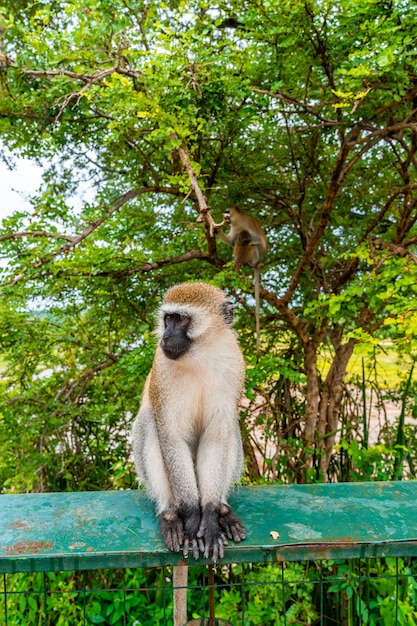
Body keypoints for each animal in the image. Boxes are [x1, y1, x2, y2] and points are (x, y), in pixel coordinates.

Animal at [132, 282, 245, 560]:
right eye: (167, 319)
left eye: (182, 319)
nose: (165, 337)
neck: (200, 356)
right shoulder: (162, 368)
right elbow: (170, 437)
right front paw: (193, 520)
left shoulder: (234, 365)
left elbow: (216, 437)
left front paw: (211, 517)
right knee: (150, 423)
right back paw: (171, 514)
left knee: (230, 429)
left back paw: (223, 511)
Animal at [216, 207, 268, 358]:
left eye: (228, 211)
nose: (225, 215)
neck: (237, 221)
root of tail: (257, 263)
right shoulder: (233, 226)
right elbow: (230, 241)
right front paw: (213, 229)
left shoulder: (246, 222)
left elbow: (258, 239)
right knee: (238, 239)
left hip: (254, 256)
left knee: (246, 237)